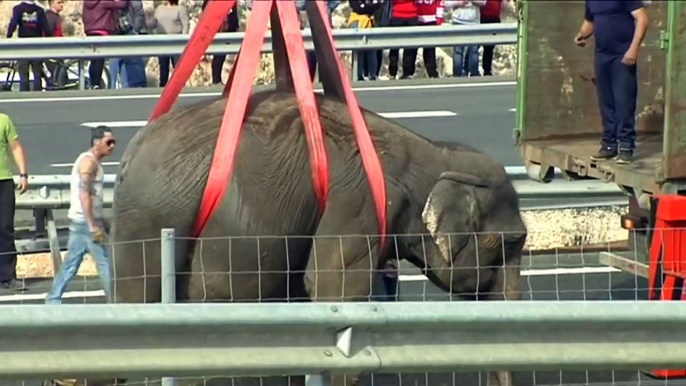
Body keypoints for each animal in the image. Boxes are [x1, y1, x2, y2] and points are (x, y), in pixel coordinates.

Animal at [107, 89, 528, 386]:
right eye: (512, 242)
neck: (433, 151)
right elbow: (335, 292)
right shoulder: (358, 204)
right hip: (151, 217)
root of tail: (129, 154)